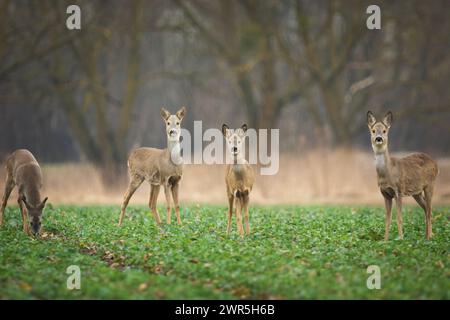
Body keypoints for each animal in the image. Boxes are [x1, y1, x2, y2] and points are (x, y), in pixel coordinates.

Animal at [368, 111, 438, 239]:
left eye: (384, 131)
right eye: (373, 130)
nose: (378, 138)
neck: (388, 172)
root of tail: (436, 164)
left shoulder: (399, 191)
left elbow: (399, 218)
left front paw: (401, 239)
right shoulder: (385, 194)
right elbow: (387, 219)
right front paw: (385, 240)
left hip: (430, 185)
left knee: (429, 210)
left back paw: (429, 238)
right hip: (417, 192)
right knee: (426, 209)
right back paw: (428, 237)